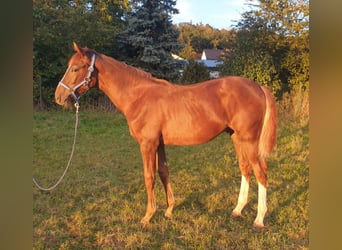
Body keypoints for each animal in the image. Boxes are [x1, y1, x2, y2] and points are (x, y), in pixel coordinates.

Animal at [54, 43, 278, 229]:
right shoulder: (159, 144)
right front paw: (169, 209)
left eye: (75, 68)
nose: (58, 97)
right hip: (237, 138)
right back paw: (237, 210)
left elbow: (149, 176)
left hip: (249, 139)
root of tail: (258, 87)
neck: (139, 96)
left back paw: (259, 219)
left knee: (261, 172)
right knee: (245, 168)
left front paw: (148, 216)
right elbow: (164, 172)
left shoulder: (147, 144)